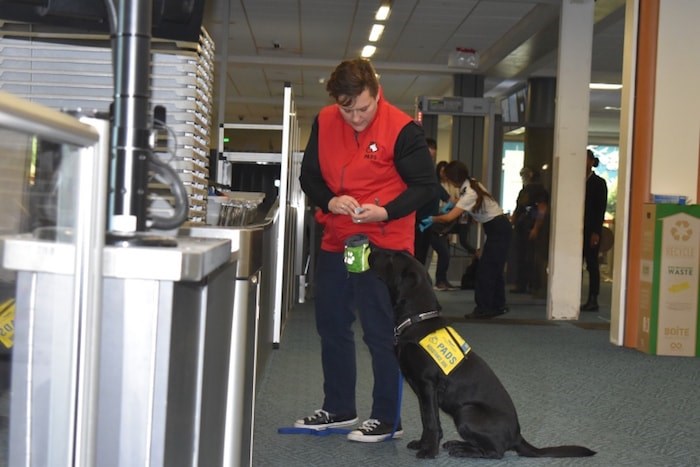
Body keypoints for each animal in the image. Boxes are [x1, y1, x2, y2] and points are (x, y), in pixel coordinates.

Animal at [370, 250, 592, 458]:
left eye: (392, 257)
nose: (371, 249)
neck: (417, 318)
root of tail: (517, 436)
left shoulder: (427, 385)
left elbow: (431, 422)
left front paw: (429, 451)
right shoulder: (421, 390)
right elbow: (427, 419)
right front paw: (423, 444)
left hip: (466, 412)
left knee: (496, 452)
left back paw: (463, 450)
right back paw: (458, 444)